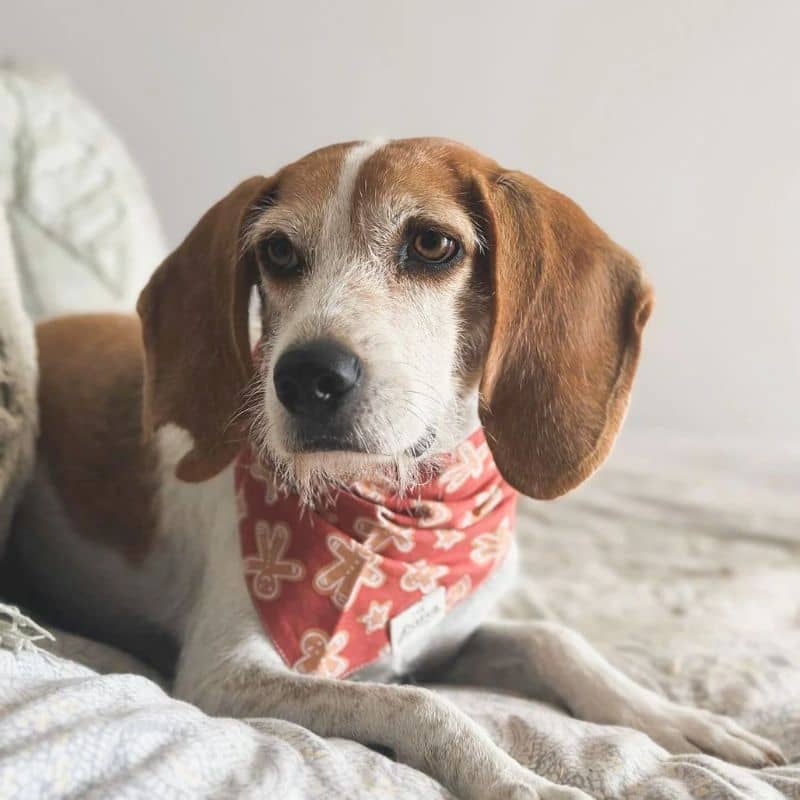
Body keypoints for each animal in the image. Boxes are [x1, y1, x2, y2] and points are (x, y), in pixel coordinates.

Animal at [12, 139, 784, 800]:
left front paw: (673, 717)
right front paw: (518, 780)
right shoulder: (224, 675)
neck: (407, 504)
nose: (306, 377)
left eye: (432, 244)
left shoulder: (450, 639)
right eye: (278, 251)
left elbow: (553, 639)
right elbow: (420, 705)